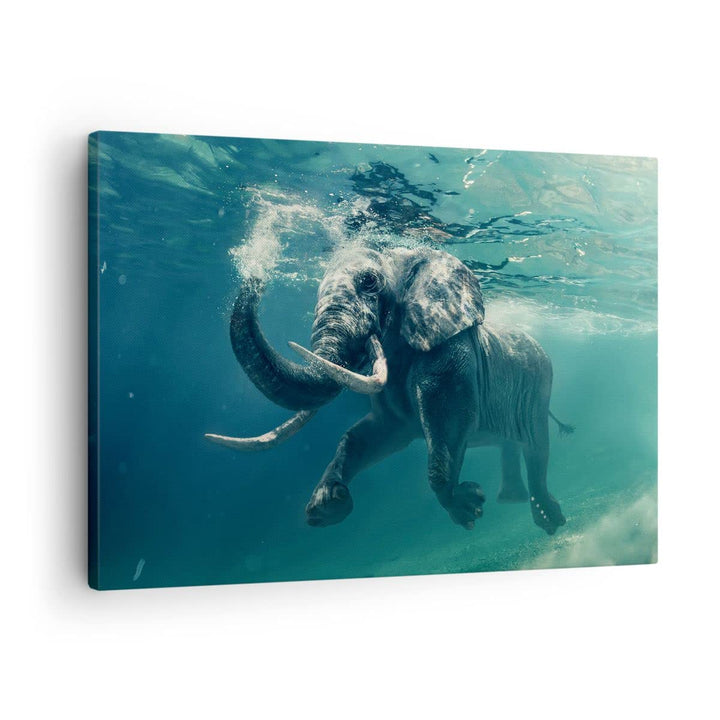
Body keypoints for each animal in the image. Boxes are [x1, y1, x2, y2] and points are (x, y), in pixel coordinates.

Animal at [206, 245, 571, 535]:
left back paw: (547, 519)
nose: (256, 276)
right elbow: (373, 435)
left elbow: (451, 421)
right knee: (512, 444)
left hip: (540, 386)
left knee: (537, 446)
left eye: (369, 282)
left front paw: (467, 508)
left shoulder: (450, 353)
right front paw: (326, 506)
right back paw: (512, 500)